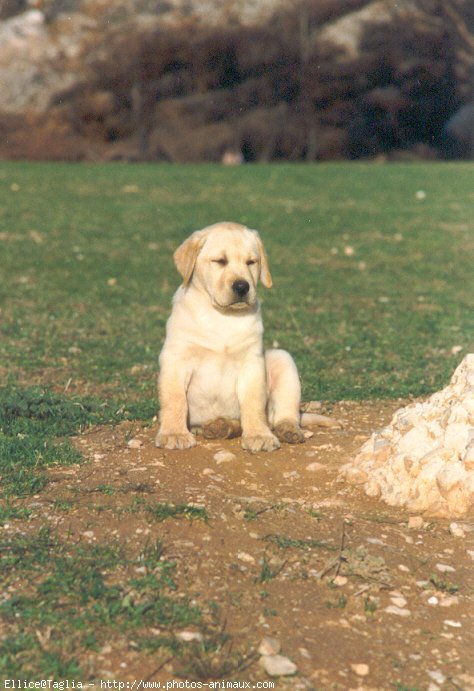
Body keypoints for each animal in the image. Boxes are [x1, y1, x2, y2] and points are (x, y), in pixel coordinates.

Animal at [156, 222, 304, 454]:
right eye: (220, 261)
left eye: (251, 262)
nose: (242, 286)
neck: (222, 316)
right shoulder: (176, 359)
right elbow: (174, 399)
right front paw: (174, 433)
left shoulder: (251, 363)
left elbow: (253, 403)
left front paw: (259, 435)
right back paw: (217, 427)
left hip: (282, 359)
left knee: (284, 414)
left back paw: (286, 430)